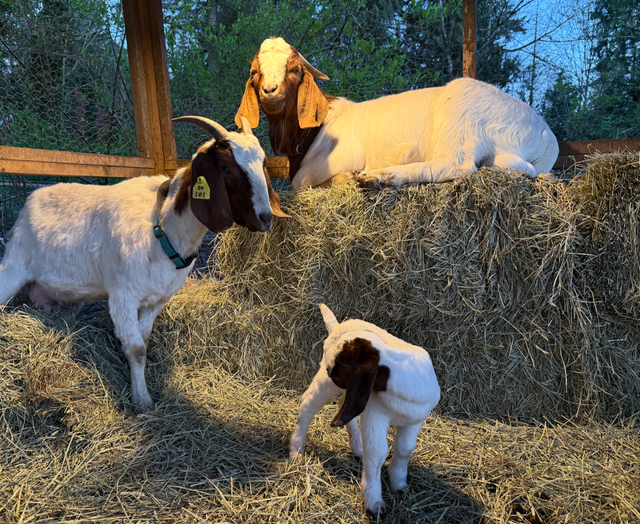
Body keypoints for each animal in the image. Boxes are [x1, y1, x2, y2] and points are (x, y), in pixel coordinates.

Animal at [0, 116, 288, 413]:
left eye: (263, 163)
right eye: (224, 167)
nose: (265, 218)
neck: (162, 228)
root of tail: (28, 205)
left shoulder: (157, 299)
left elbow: (145, 338)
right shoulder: (122, 296)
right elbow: (136, 349)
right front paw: (142, 401)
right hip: (13, 266)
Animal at [235, 37, 559, 189]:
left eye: (294, 70)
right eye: (255, 73)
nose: (271, 91)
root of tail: (545, 136)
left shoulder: (323, 168)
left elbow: (302, 184)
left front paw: (348, 177)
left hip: (462, 116)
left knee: (459, 165)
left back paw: (379, 176)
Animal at [289, 304, 441, 515]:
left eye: (341, 367)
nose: (329, 370)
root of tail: (337, 326)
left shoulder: (415, 420)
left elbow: (405, 448)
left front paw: (399, 483)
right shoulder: (375, 414)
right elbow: (377, 452)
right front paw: (374, 502)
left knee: (342, 404)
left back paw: (357, 447)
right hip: (325, 383)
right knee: (308, 404)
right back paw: (296, 452)